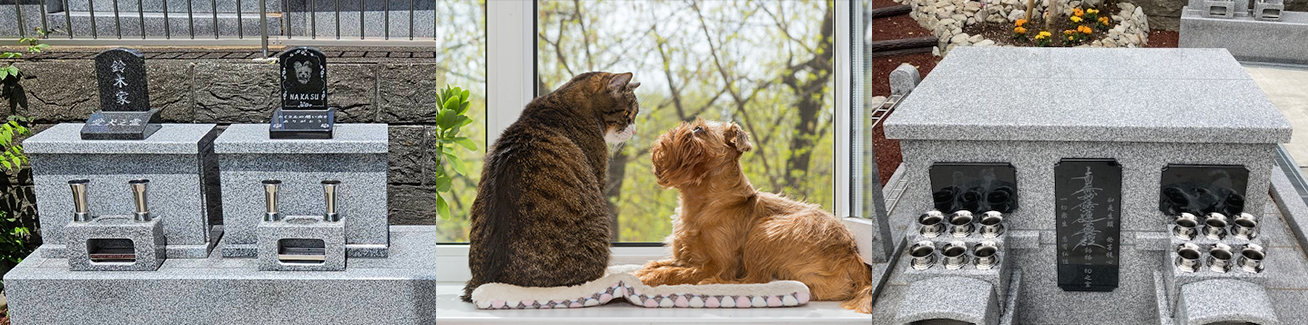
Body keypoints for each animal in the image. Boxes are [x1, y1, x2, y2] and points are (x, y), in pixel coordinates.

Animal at [635, 118, 873, 311]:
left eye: (699, 129)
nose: (676, 130)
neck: (699, 202)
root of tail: (853, 256)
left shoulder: (719, 266)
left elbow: (677, 273)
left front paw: (649, 277)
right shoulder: (684, 257)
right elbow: (660, 264)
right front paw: (644, 271)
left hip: (763, 231)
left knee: (757, 280)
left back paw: (715, 284)